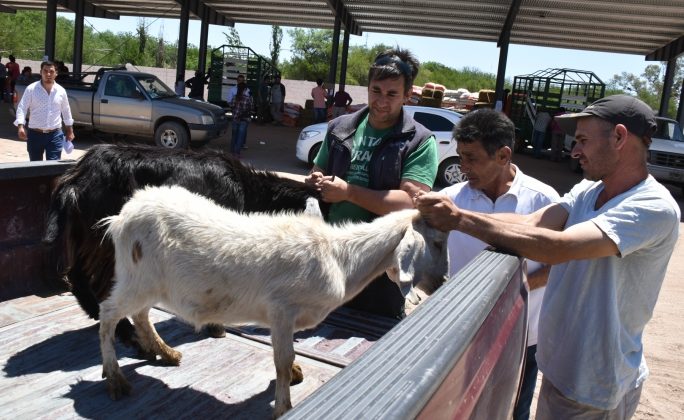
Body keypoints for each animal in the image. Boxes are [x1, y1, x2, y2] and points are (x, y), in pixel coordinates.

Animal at [96, 185, 448, 416]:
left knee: (140, 314)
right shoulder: (282, 309)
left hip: (149, 283)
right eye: (437, 242)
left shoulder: (286, 317)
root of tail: (121, 216)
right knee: (108, 313)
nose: (441, 282)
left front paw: (293, 374)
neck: (341, 258)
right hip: (137, 279)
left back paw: (164, 352)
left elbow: (285, 353)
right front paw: (284, 404)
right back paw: (115, 378)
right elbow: (281, 357)